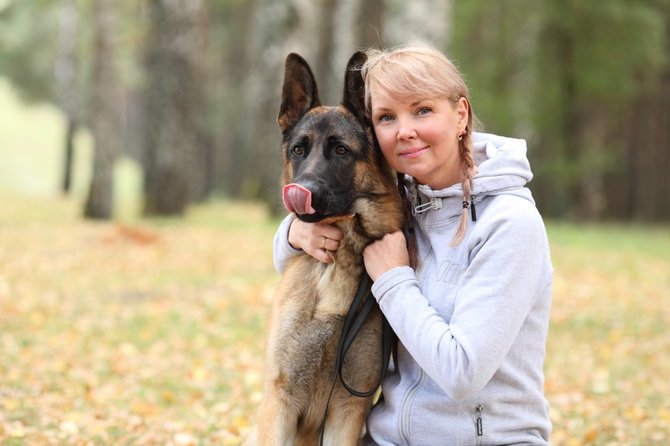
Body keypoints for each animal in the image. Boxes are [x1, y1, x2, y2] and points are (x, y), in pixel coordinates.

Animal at [256, 51, 404, 442]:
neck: (336, 260)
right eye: (298, 150)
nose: (302, 191)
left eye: (340, 150)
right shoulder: (280, 398)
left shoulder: (349, 408)